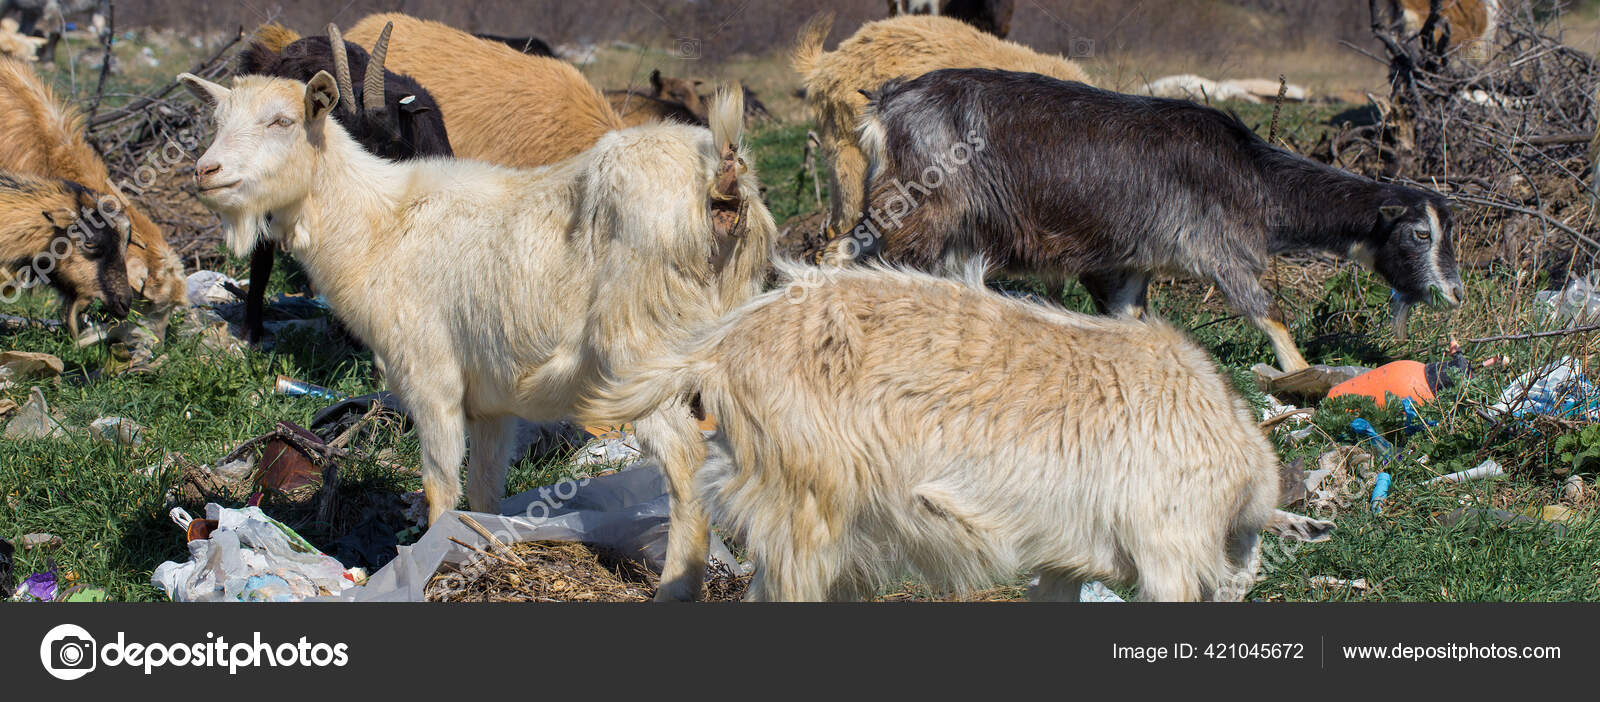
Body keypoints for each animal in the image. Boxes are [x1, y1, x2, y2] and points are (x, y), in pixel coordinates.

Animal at [179, 70, 775, 603]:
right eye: (218, 120)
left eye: (282, 120)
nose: (206, 171)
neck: (380, 228)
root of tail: (720, 180)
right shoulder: (492, 401)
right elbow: (486, 488)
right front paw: (483, 551)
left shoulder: (429, 377)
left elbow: (441, 486)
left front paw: (435, 558)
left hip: (640, 357)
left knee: (688, 464)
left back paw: (676, 590)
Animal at [824, 68, 1465, 373]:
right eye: (1420, 234)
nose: (1456, 293)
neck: (1252, 173)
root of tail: (886, 105)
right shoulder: (1223, 250)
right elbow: (1269, 313)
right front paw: (1303, 374)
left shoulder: (1134, 260)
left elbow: (1128, 318)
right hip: (916, 207)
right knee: (851, 256)